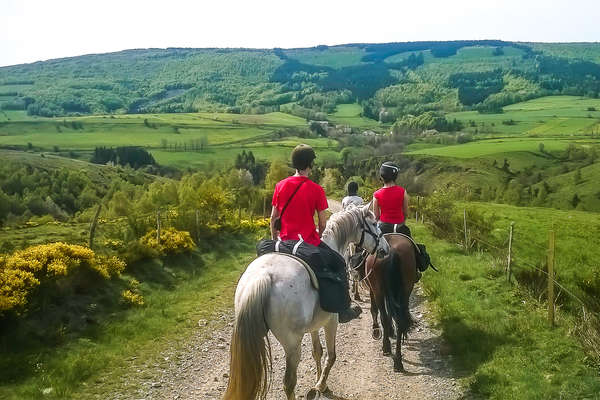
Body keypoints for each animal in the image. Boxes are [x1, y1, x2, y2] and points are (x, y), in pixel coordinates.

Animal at [225, 206, 390, 400]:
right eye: (373, 223)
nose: (385, 249)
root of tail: (263, 277)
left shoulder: (314, 324)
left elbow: (317, 351)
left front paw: (319, 382)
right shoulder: (331, 320)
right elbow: (331, 355)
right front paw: (321, 385)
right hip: (292, 344)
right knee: (289, 383)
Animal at [364, 233, 414, 374]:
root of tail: (392, 251)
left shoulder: (372, 290)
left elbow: (374, 310)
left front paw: (376, 330)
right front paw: (391, 331)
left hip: (378, 291)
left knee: (384, 317)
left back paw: (386, 347)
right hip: (406, 290)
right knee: (400, 321)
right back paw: (398, 361)